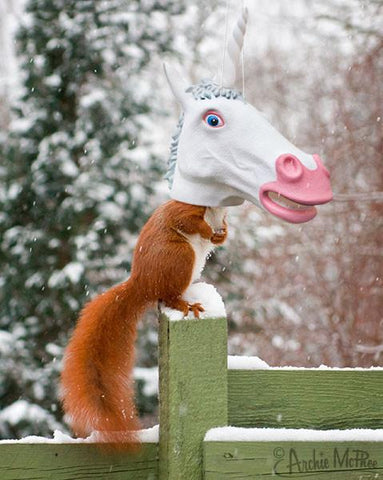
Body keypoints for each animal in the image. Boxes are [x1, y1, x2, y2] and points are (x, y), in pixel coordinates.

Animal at [60, 200, 228, 446]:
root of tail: (143, 284)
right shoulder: (184, 208)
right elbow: (185, 220)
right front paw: (208, 232)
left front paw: (222, 234)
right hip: (180, 257)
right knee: (167, 296)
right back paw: (185, 305)